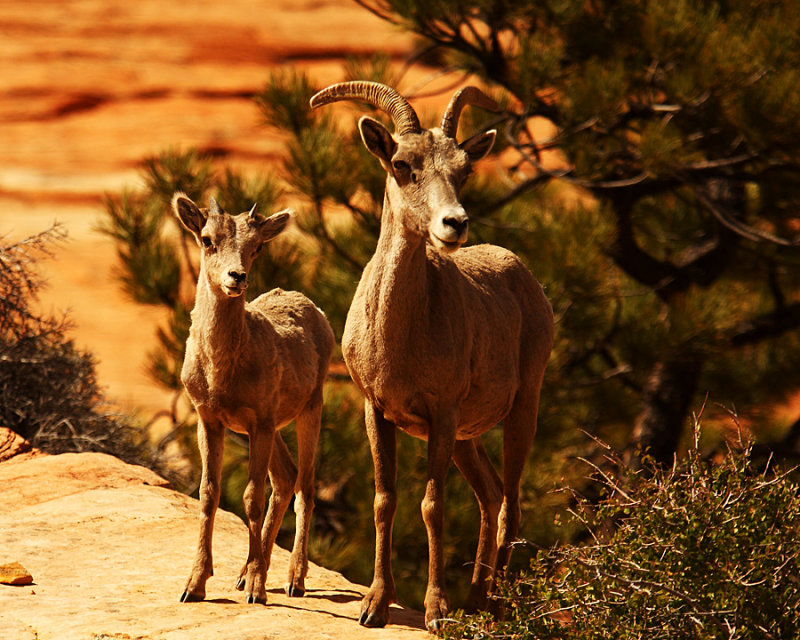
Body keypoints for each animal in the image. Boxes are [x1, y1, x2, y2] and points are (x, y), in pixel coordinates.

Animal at [173, 194, 336, 604]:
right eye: (206, 239)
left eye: (256, 246)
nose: (236, 277)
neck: (221, 376)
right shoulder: (210, 419)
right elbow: (209, 493)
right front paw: (194, 586)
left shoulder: (259, 420)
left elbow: (251, 498)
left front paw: (258, 591)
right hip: (272, 425)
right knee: (286, 477)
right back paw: (244, 575)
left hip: (310, 408)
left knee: (305, 485)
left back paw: (293, 580)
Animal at [310, 81, 552, 632]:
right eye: (402, 164)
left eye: (463, 170)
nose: (454, 223)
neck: (399, 341)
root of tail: (525, 275)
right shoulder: (378, 411)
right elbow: (385, 500)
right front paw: (374, 605)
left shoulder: (441, 413)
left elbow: (432, 505)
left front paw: (437, 612)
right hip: (468, 437)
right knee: (490, 496)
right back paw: (478, 598)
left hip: (521, 410)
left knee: (510, 504)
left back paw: (495, 605)